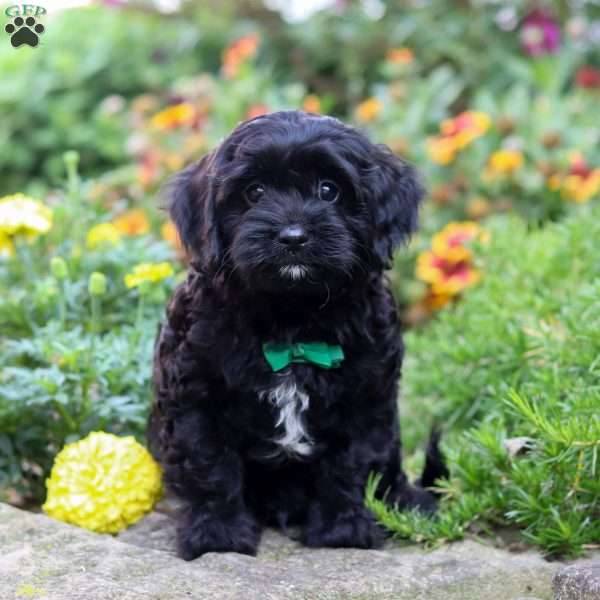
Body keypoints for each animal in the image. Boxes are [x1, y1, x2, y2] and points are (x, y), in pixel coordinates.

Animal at [148, 110, 442, 560]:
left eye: (329, 190)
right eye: (254, 192)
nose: (292, 236)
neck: (293, 319)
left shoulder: (366, 398)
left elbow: (349, 465)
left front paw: (342, 530)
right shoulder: (195, 396)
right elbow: (210, 466)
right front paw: (218, 534)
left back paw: (409, 503)